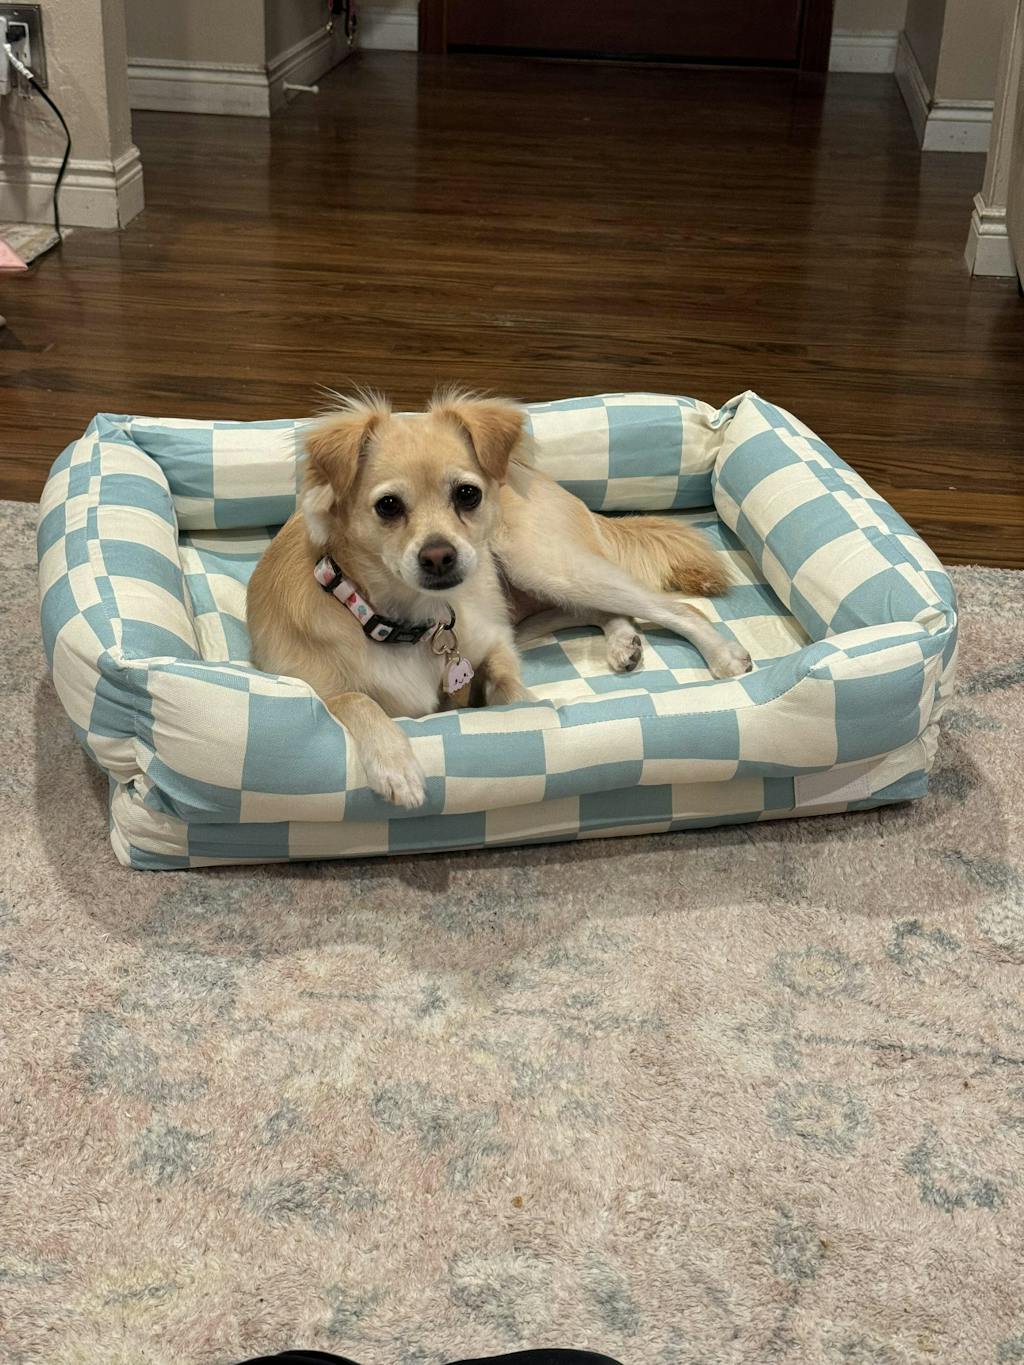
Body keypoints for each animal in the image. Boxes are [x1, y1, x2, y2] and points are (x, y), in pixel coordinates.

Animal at [244, 390, 748, 802]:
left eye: (467, 494)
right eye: (388, 505)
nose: (439, 556)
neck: (409, 622)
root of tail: (537, 476)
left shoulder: (495, 644)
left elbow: (509, 686)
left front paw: (529, 709)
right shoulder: (308, 682)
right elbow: (354, 700)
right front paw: (396, 765)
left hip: (546, 566)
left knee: (673, 607)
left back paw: (722, 654)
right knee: (603, 610)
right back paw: (624, 642)